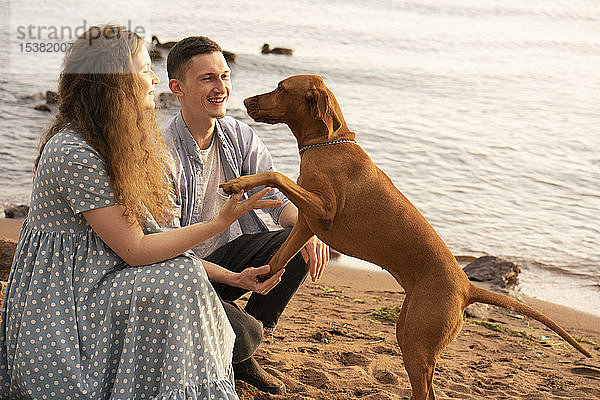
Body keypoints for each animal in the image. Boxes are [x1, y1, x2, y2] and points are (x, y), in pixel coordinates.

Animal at [221, 75, 596, 400]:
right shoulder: (306, 225)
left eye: (282, 88)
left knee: (426, 393)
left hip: (417, 342)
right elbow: (276, 259)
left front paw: (238, 184)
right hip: (409, 331)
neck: (327, 145)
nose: (245, 100)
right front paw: (252, 280)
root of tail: (467, 287)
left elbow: (276, 174)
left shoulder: (323, 210)